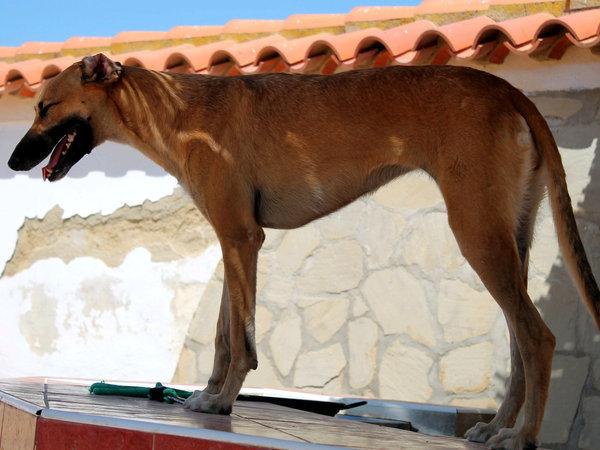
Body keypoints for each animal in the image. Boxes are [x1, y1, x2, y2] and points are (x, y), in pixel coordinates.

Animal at [5, 54, 600, 448]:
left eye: (45, 107)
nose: (13, 162)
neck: (178, 111)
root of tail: (510, 92)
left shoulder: (242, 239)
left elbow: (241, 341)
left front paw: (222, 400)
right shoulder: (232, 241)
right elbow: (224, 333)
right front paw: (209, 398)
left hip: (478, 236)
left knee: (539, 338)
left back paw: (519, 437)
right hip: (507, 242)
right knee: (519, 343)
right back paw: (496, 427)